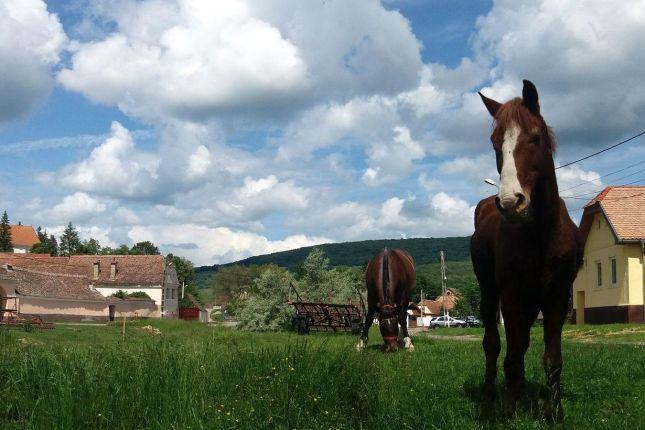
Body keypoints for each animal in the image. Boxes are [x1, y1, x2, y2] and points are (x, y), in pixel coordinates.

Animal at [470, 80, 580, 420]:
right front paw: (509, 409)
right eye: (495, 143)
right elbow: (511, 355)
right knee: (493, 343)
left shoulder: (558, 296)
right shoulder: (511, 294)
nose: (510, 202)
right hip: (491, 292)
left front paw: (554, 412)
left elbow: (552, 358)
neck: (541, 233)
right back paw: (492, 391)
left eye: (535, 137)